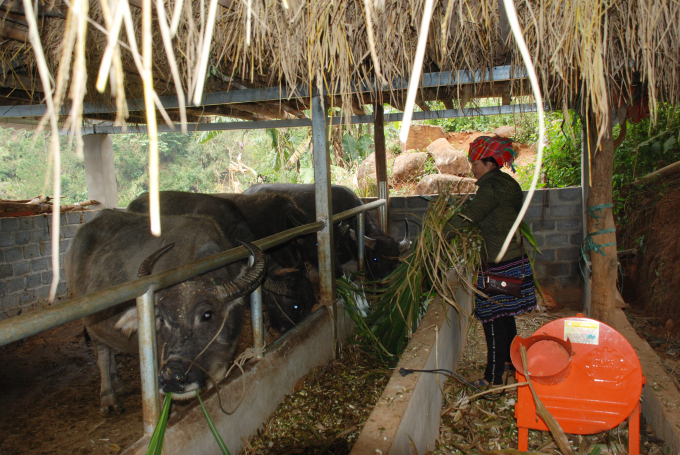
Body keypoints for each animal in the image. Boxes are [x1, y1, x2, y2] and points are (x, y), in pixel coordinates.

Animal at [65, 212, 264, 416]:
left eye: (207, 315)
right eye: (161, 318)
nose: (171, 378)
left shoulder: (224, 358)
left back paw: (119, 383)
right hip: (92, 326)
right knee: (103, 354)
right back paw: (109, 398)